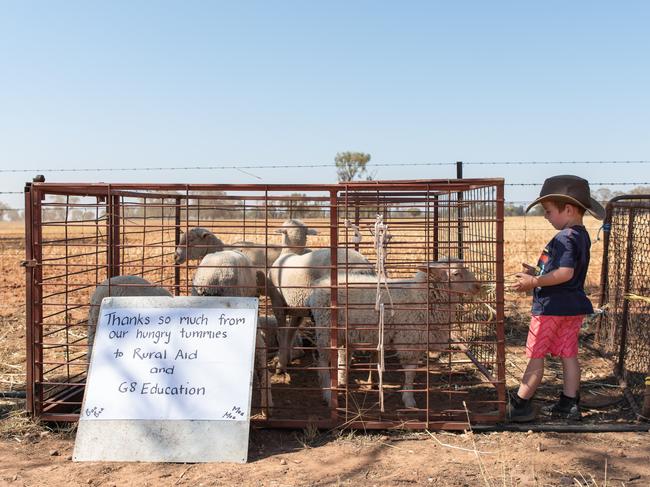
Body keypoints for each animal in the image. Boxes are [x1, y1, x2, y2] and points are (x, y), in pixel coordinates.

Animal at [306, 262, 480, 410]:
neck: (421, 296)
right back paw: (328, 395)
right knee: (323, 363)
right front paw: (409, 400)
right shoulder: (409, 340)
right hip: (325, 331)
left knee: (341, 358)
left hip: (342, 333)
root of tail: (316, 291)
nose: (479, 286)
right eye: (456, 273)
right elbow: (410, 372)